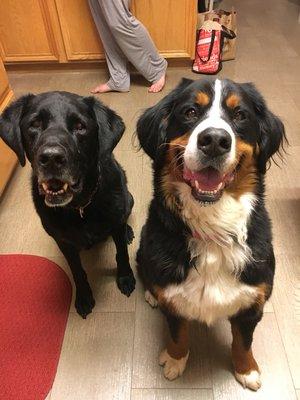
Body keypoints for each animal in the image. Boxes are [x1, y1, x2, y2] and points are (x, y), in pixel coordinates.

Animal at [0, 91, 136, 318]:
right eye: (34, 124)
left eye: (80, 126)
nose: (52, 158)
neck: (80, 207)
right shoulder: (63, 242)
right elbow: (76, 270)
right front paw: (83, 297)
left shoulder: (116, 221)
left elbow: (122, 254)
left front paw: (125, 278)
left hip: (129, 199)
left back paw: (128, 232)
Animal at [136, 77, 286, 390]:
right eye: (190, 111)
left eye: (240, 115)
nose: (215, 140)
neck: (212, 227)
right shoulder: (173, 299)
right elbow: (178, 334)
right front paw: (175, 360)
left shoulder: (253, 301)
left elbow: (243, 342)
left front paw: (246, 370)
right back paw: (151, 295)